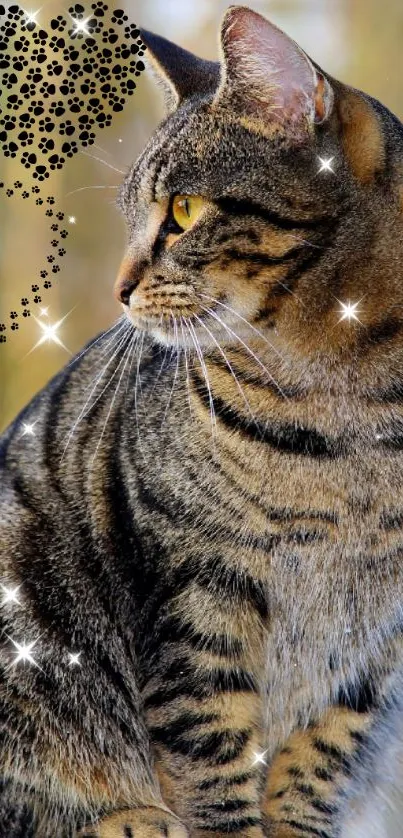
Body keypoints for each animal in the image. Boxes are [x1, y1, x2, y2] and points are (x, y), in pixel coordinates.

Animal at [0, 6, 403, 838]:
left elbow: (319, 757)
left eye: (184, 212)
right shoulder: (195, 587)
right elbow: (212, 754)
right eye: (131, 217)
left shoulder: (376, 637)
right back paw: (127, 818)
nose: (119, 288)